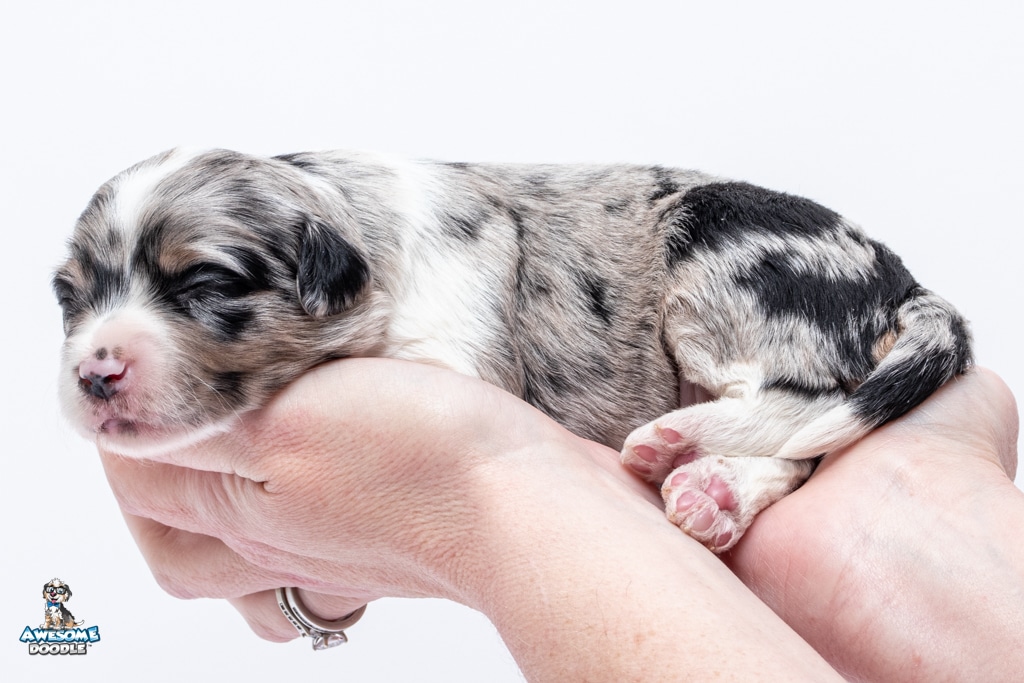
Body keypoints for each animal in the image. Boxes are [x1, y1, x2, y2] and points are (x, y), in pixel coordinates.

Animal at [53, 148, 971, 551]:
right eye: (67, 296)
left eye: (206, 281)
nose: (94, 373)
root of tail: (900, 278)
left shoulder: (456, 358)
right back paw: (711, 488)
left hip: (724, 255)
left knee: (805, 401)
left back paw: (681, 440)